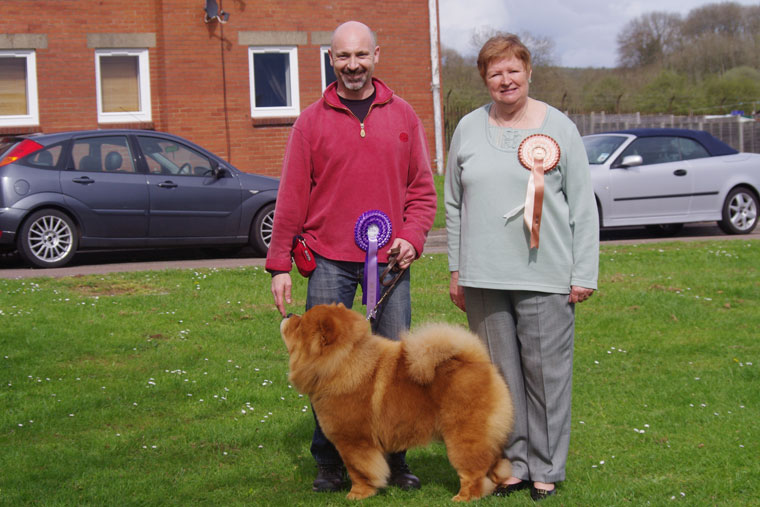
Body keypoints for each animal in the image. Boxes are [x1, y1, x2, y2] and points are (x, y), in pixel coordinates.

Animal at [280, 304, 516, 502]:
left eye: (300, 324)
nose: (288, 314)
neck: (342, 364)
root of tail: (477, 362)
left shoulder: (353, 442)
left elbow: (359, 471)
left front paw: (357, 494)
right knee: (493, 465)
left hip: (463, 437)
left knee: (473, 472)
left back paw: (463, 498)